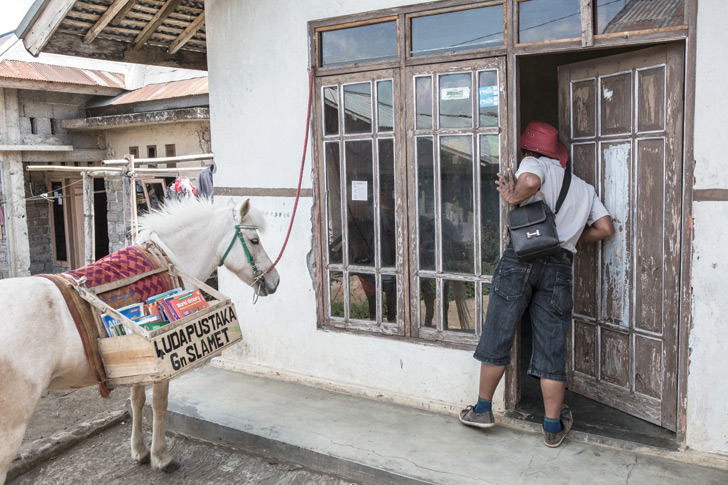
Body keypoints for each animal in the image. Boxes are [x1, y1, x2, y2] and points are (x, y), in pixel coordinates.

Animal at [0, 197, 278, 480]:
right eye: (254, 240)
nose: (274, 280)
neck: (169, 258)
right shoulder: (161, 367)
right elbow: (158, 404)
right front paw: (161, 457)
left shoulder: (138, 362)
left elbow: (137, 402)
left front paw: (139, 451)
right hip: (11, 427)